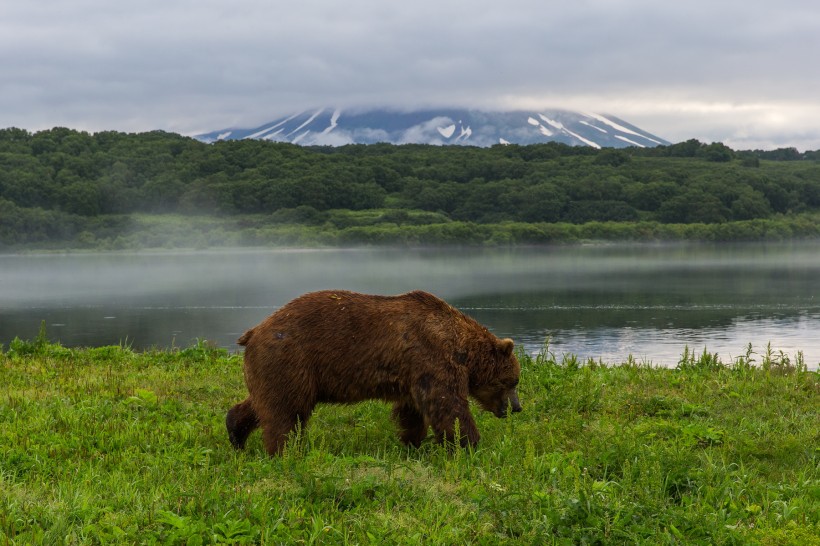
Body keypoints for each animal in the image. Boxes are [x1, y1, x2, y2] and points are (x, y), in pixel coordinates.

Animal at [226, 288, 520, 454]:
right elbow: (448, 405)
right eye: (513, 381)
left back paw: (236, 434)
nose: (517, 407)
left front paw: (412, 442)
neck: (462, 348)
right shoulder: (433, 357)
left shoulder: (413, 371)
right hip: (292, 359)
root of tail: (255, 330)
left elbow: (412, 410)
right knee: (286, 410)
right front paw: (468, 444)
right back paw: (283, 451)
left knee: (263, 403)